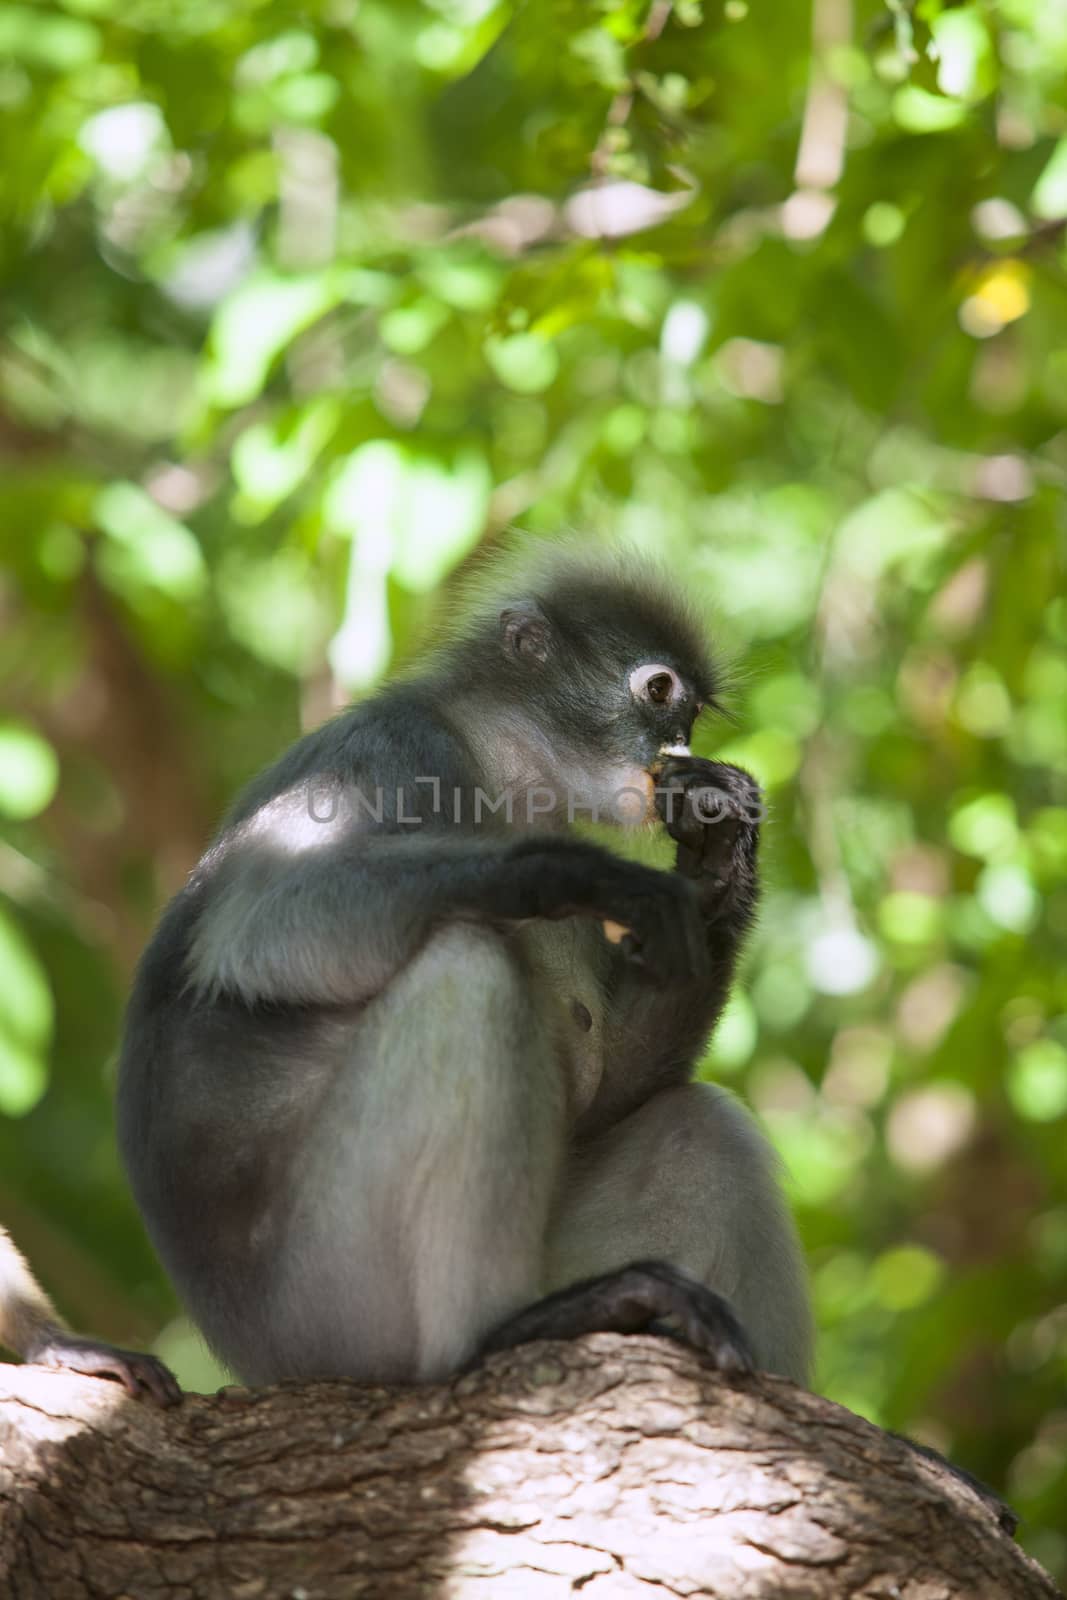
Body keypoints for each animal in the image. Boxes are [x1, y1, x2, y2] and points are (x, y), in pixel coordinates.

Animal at [116, 547, 812, 1388]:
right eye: (658, 692)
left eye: (691, 718)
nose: (676, 740)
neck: (496, 770)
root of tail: (250, 1359)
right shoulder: (390, 750)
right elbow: (260, 924)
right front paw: (568, 871)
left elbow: (610, 1090)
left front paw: (719, 849)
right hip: (334, 1307)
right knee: (466, 967)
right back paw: (496, 1333)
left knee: (698, 1126)